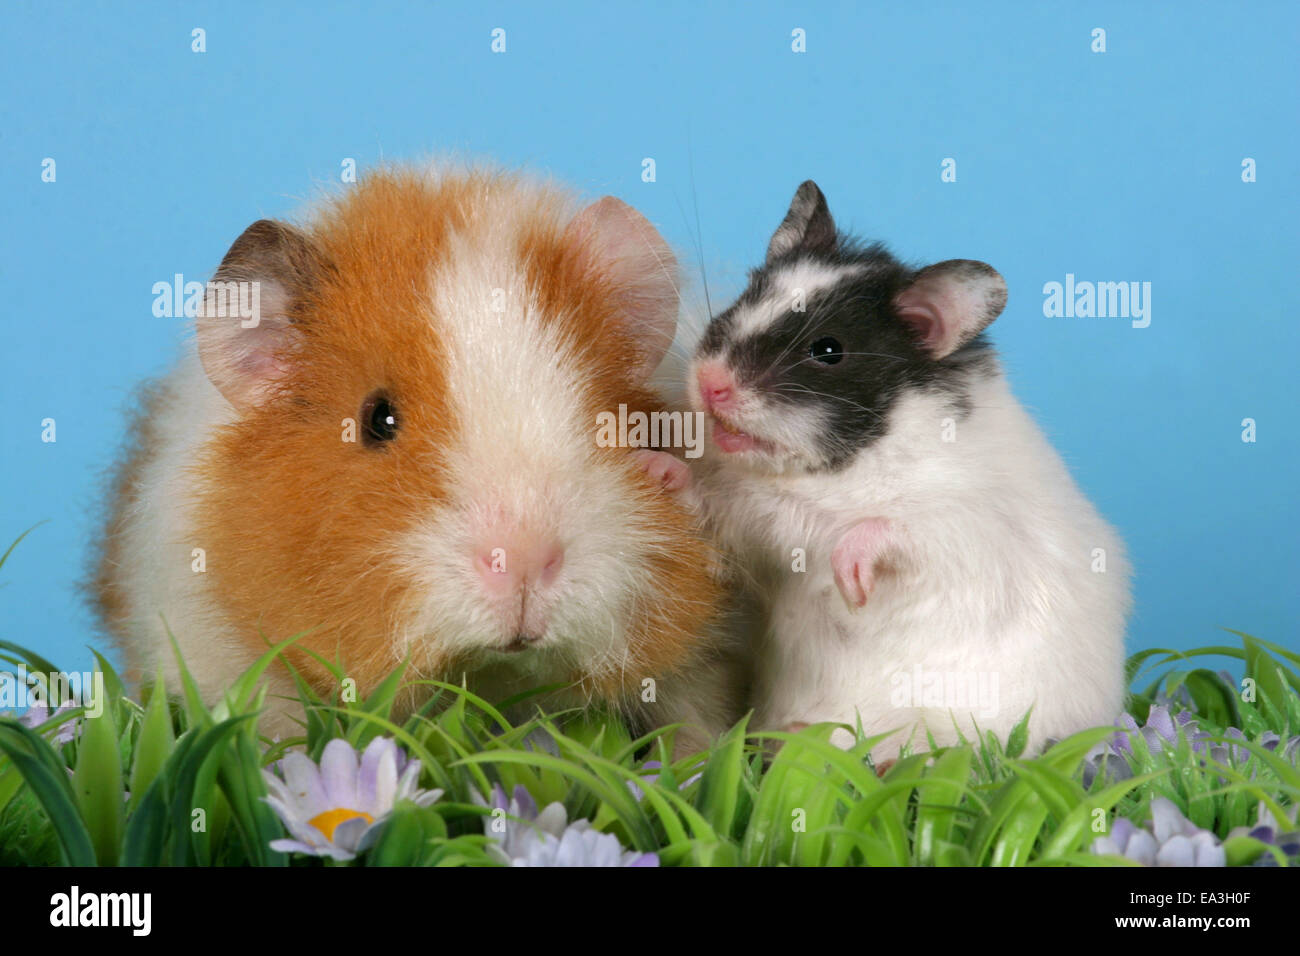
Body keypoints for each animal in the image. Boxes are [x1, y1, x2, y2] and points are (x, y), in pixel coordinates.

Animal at [686, 181, 1130, 756]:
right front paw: (660, 470)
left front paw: (851, 584)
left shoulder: (965, 532)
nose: (709, 383)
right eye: (745, 299)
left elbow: (889, 529)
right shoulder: (751, 529)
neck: (828, 475)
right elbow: (709, 509)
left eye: (827, 350)